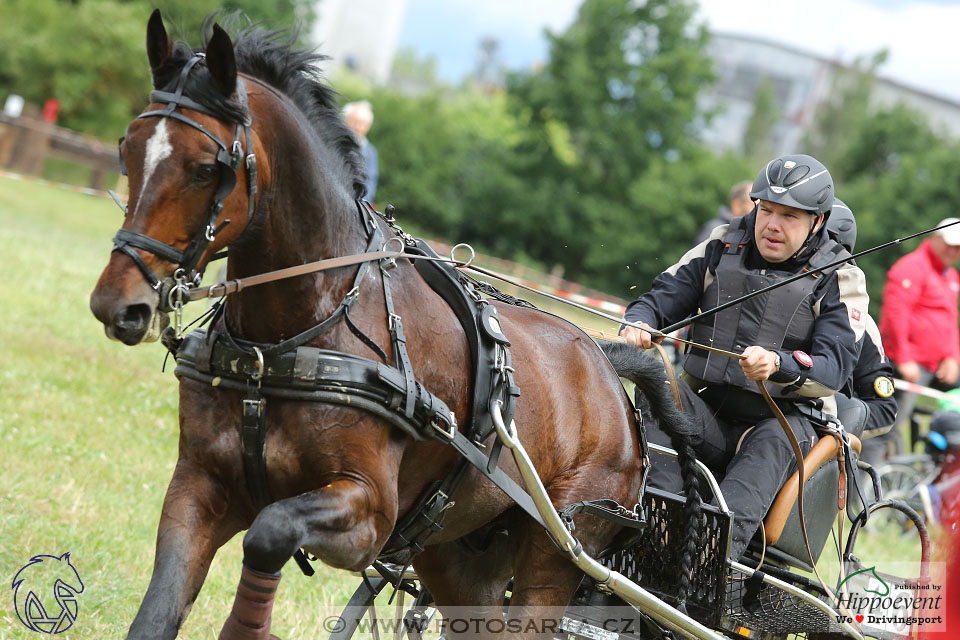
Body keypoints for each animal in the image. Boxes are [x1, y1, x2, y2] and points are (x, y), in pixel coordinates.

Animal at [88, 11, 696, 640]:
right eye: (129, 147)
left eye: (208, 168)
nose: (118, 303)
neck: (290, 341)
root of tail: (604, 364)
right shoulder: (198, 488)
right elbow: (158, 612)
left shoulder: (369, 514)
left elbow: (270, 531)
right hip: (458, 554)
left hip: (555, 557)